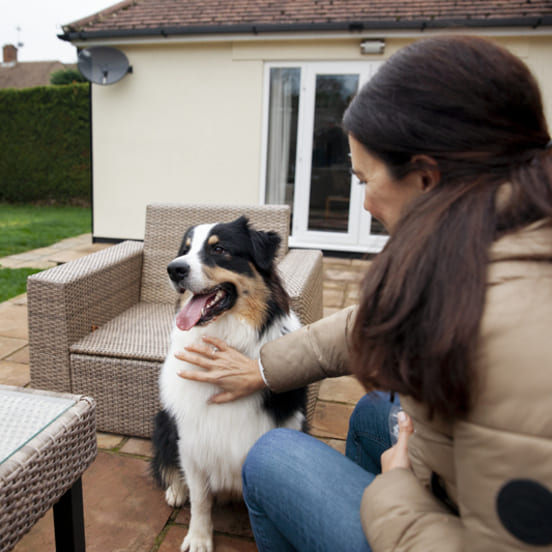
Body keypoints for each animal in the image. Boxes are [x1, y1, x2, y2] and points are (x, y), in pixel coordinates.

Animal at [151, 216, 306, 552]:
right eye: (184, 250)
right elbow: (200, 499)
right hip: (163, 420)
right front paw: (198, 538)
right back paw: (176, 489)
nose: (173, 269)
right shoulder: (192, 440)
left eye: (219, 249)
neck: (225, 337)